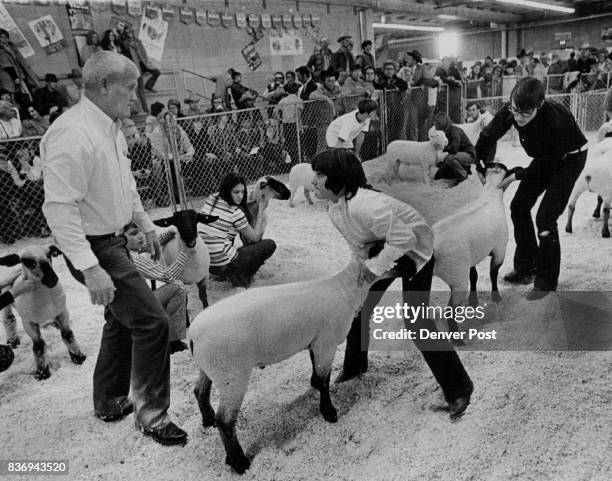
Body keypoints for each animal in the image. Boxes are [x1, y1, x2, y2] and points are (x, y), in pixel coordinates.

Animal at [0, 244, 86, 378]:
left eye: (50, 254)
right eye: (26, 261)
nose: (52, 279)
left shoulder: (62, 311)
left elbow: (68, 335)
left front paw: (79, 358)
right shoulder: (28, 322)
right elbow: (39, 346)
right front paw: (42, 374)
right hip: (5, 294)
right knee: (9, 319)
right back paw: (13, 342)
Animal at [189, 251, 394, 472]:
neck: (345, 289)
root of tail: (192, 335)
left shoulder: (315, 341)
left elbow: (317, 373)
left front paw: (315, 387)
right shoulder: (326, 343)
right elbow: (324, 380)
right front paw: (329, 412)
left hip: (209, 367)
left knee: (200, 392)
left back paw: (208, 421)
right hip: (231, 375)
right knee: (225, 420)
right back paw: (239, 462)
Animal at [432, 163, 524, 344]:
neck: (490, 197)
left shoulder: (472, 257)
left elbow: (474, 275)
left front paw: (473, 301)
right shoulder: (499, 250)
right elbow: (493, 273)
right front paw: (496, 298)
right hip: (457, 277)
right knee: (450, 310)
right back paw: (457, 340)